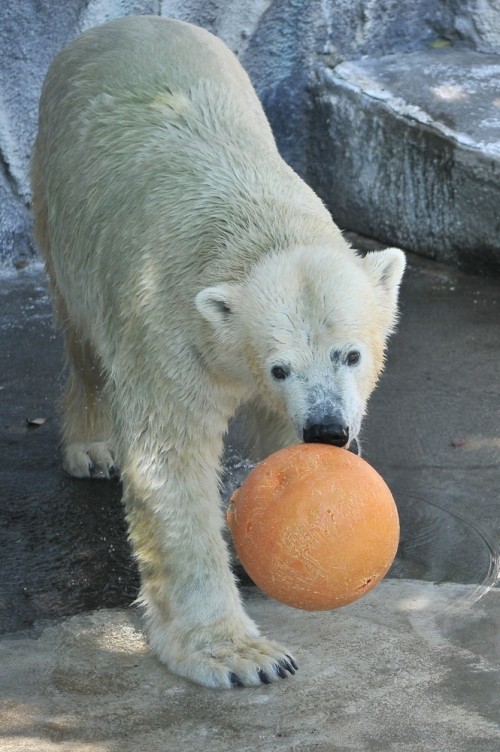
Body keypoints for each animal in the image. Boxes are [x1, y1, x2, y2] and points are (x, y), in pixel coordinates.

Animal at [31, 14, 406, 692]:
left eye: (351, 355)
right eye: (280, 366)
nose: (329, 430)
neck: (255, 223)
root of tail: (123, 22)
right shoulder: (169, 329)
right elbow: (170, 464)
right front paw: (241, 656)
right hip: (62, 204)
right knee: (84, 339)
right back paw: (92, 445)